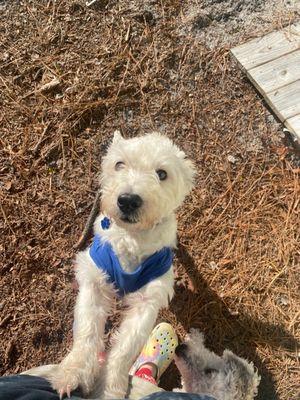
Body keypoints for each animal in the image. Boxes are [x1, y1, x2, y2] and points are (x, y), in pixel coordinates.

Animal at [48, 131, 196, 396]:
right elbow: (86, 332)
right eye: (119, 164)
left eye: (162, 173)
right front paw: (72, 372)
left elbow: (124, 350)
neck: (132, 239)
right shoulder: (94, 280)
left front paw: (109, 389)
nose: (128, 200)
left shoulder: (148, 300)